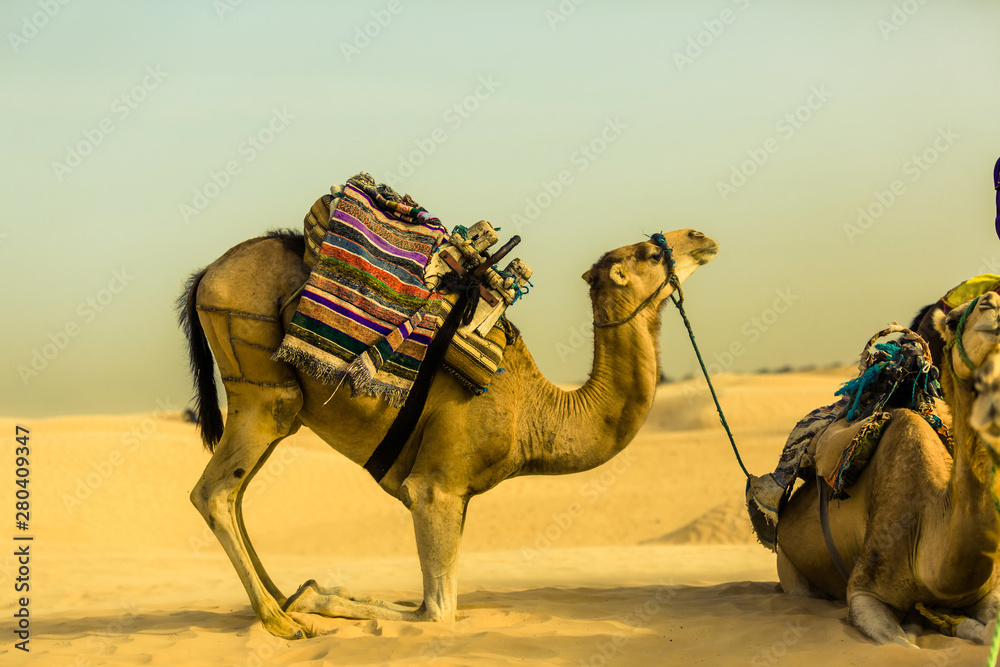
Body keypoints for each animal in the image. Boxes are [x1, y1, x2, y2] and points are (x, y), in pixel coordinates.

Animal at [178, 227, 719, 639]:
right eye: (650, 254)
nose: (700, 237)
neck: (534, 411)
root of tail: (206, 275)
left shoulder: (458, 496)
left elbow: (431, 603)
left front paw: (311, 592)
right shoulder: (437, 485)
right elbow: (438, 610)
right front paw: (314, 597)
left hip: (273, 411)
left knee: (238, 492)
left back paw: (278, 601)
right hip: (260, 387)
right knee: (214, 492)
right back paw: (280, 621)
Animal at [775, 292, 1000, 647]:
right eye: (953, 321)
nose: (991, 302)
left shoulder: (989, 590)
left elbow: (990, 629)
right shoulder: (865, 591)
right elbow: (904, 644)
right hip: (789, 569)